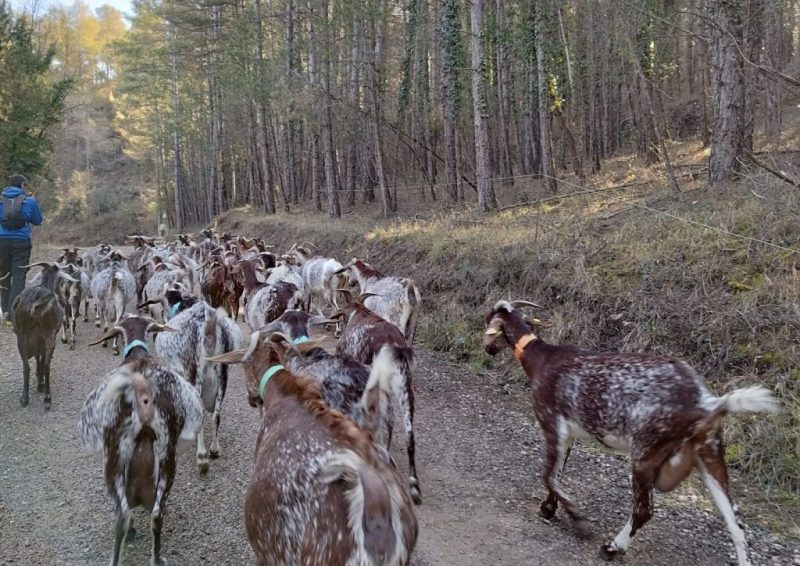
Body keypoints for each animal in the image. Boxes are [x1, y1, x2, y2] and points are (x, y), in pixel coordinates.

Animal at [12, 262, 66, 409]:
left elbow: (37, 357)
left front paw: (39, 380)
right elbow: (41, 358)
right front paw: (40, 382)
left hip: (22, 336)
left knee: (26, 366)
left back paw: (24, 398)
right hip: (49, 336)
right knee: (47, 365)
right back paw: (47, 398)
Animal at [79, 315, 204, 566]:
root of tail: (143, 395)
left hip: (115, 457)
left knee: (123, 516)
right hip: (165, 453)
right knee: (155, 514)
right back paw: (156, 558)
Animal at [334, 292, 421, 504]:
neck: (360, 313)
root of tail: (393, 347)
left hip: (378, 384)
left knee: (385, 422)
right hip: (405, 387)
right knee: (409, 436)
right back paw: (413, 485)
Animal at [483, 299, 779, 565]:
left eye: (488, 322)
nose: (488, 349)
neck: (541, 358)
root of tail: (705, 402)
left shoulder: (551, 426)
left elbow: (548, 476)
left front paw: (578, 521)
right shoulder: (570, 436)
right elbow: (557, 475)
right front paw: (549, 508)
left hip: (646, 453)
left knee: (644, 511)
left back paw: (613, 548)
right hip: (710, 453)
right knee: (736, 522)